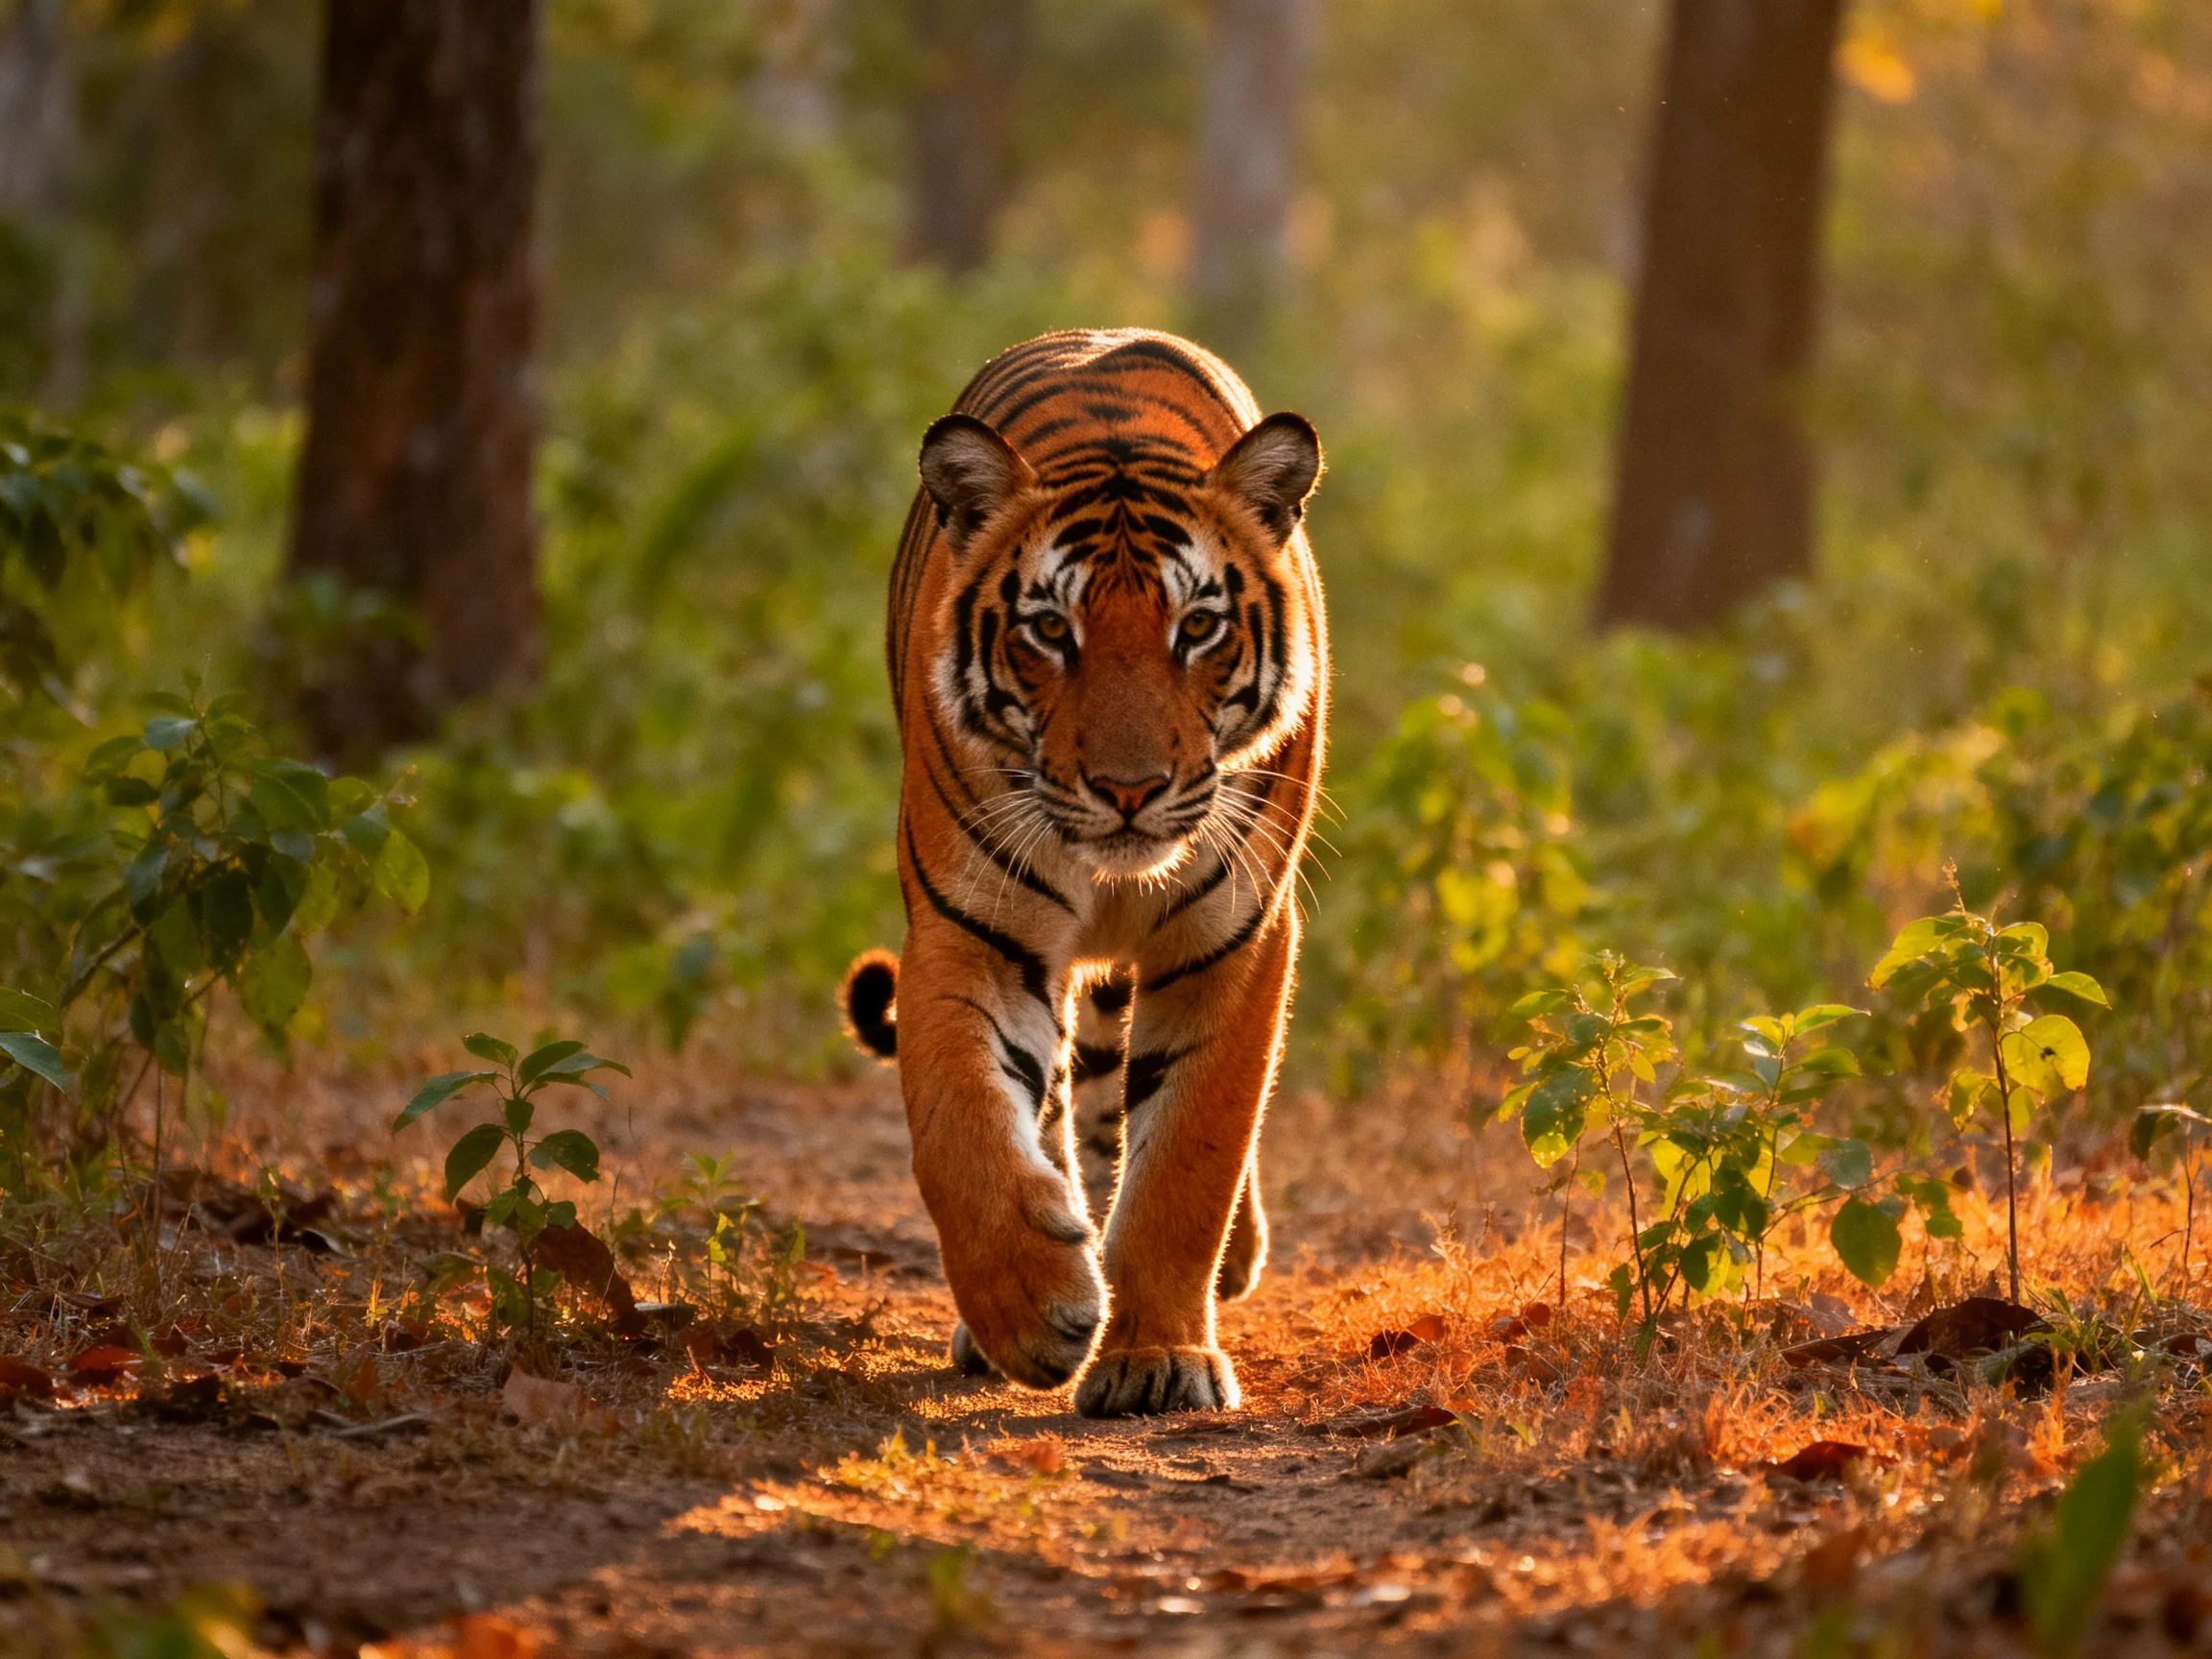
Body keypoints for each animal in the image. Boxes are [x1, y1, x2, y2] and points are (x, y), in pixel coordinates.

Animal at [839, 327, 1328, 1417]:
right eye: (1050, 631)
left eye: (1198, 627)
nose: (1128, 788)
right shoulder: (969, 932)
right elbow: (962, 1125)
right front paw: (1035, 1309)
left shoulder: (1237, 936)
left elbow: (1190, 1156)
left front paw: (1158, 1357)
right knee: (1064, 1104)